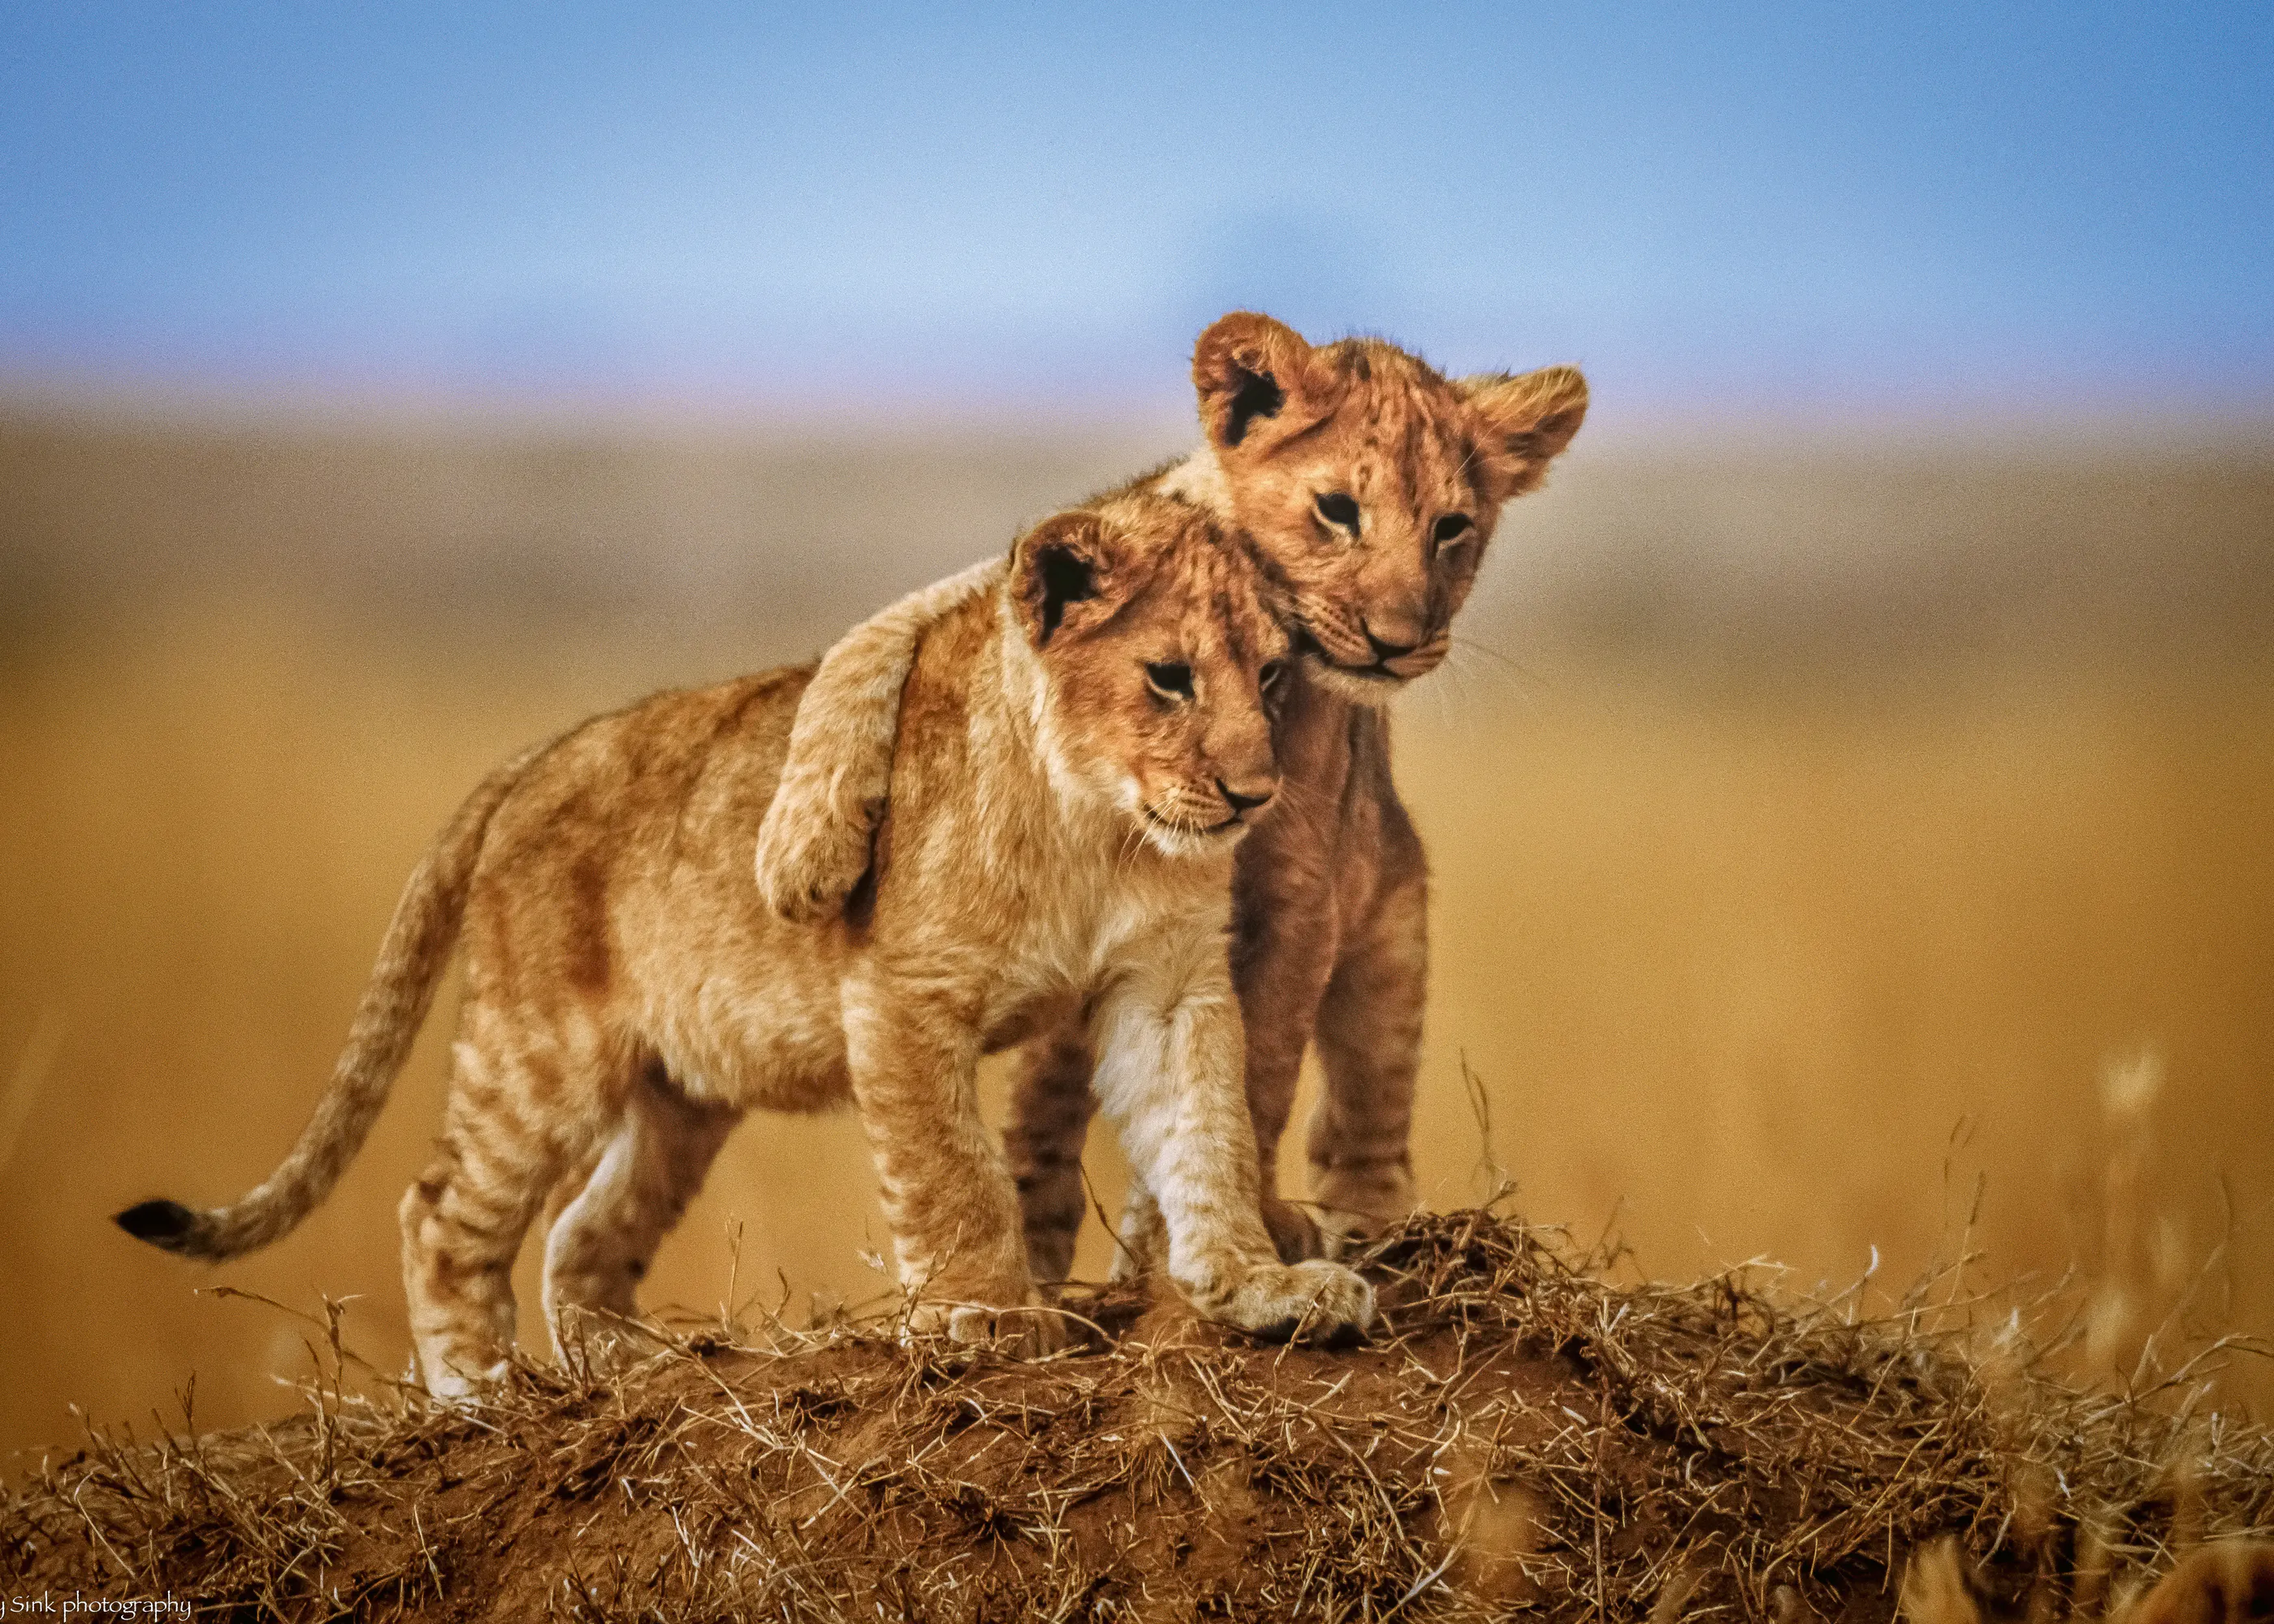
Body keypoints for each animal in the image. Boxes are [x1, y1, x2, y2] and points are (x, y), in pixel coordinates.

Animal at [113, 489, 1375, 1396]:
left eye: (1271, 675)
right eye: (1168, 678)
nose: (1255, 793)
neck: (1096, 826)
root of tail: (536, 757)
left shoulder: (1166, 987)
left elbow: (1208, 1132)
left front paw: (1260, 1286)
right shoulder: (902, 992)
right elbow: (954, 1171)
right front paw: (984, 1313)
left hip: (681, 1094)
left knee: (582, 1234)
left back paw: (635, 1368)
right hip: (540, 1055)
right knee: (441, 1214)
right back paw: (480, 1394)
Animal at [740, 311, 1588, 1280]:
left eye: (1452, 528)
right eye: (1338, 510)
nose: (1397, 641)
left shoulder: (1301, 896)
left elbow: (1255, 1073)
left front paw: (1207, 1238)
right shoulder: (1020, 584)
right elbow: (871, 641)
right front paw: (803, 853)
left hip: (1391, 933)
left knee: (1363, 1115)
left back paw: (1368, 1230)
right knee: (1044, 1110)